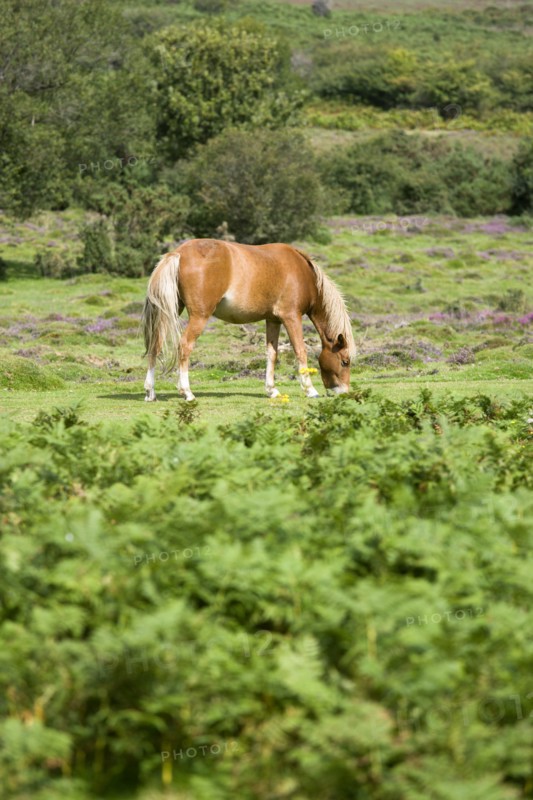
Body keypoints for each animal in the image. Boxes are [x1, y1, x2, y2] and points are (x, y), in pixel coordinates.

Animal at [141, 239, 355, 402]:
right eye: (345, 361)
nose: (344, 392)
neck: (303, 273)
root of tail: (178, 253)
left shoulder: (273, 320)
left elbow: (272, 354)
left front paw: (271, 390)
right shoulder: (291, 317)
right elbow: (300, 351)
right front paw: (310, 389)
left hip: (171, 310)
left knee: (156, 344)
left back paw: (150, 392)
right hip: (199, 316)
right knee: (184, 346)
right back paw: (187, 392)